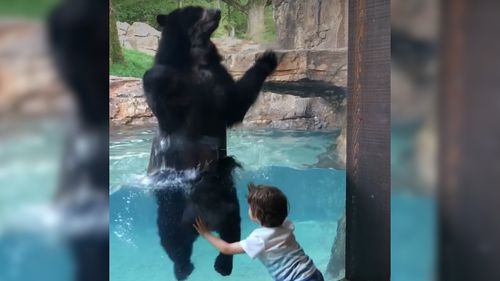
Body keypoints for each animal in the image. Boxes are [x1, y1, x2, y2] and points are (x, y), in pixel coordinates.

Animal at [143, 5, 280, 278]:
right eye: (194, 10)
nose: (217, 10)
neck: (197, 61)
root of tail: (201, 219)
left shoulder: (218, 79)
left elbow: (234, 105)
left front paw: (267, 58)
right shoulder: (178, 95)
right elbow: (163, 101)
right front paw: (156, 74)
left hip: (230, 202)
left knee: (231, 231)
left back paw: (222, 264)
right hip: (172, 203)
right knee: (172, 237)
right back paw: (183, 267)